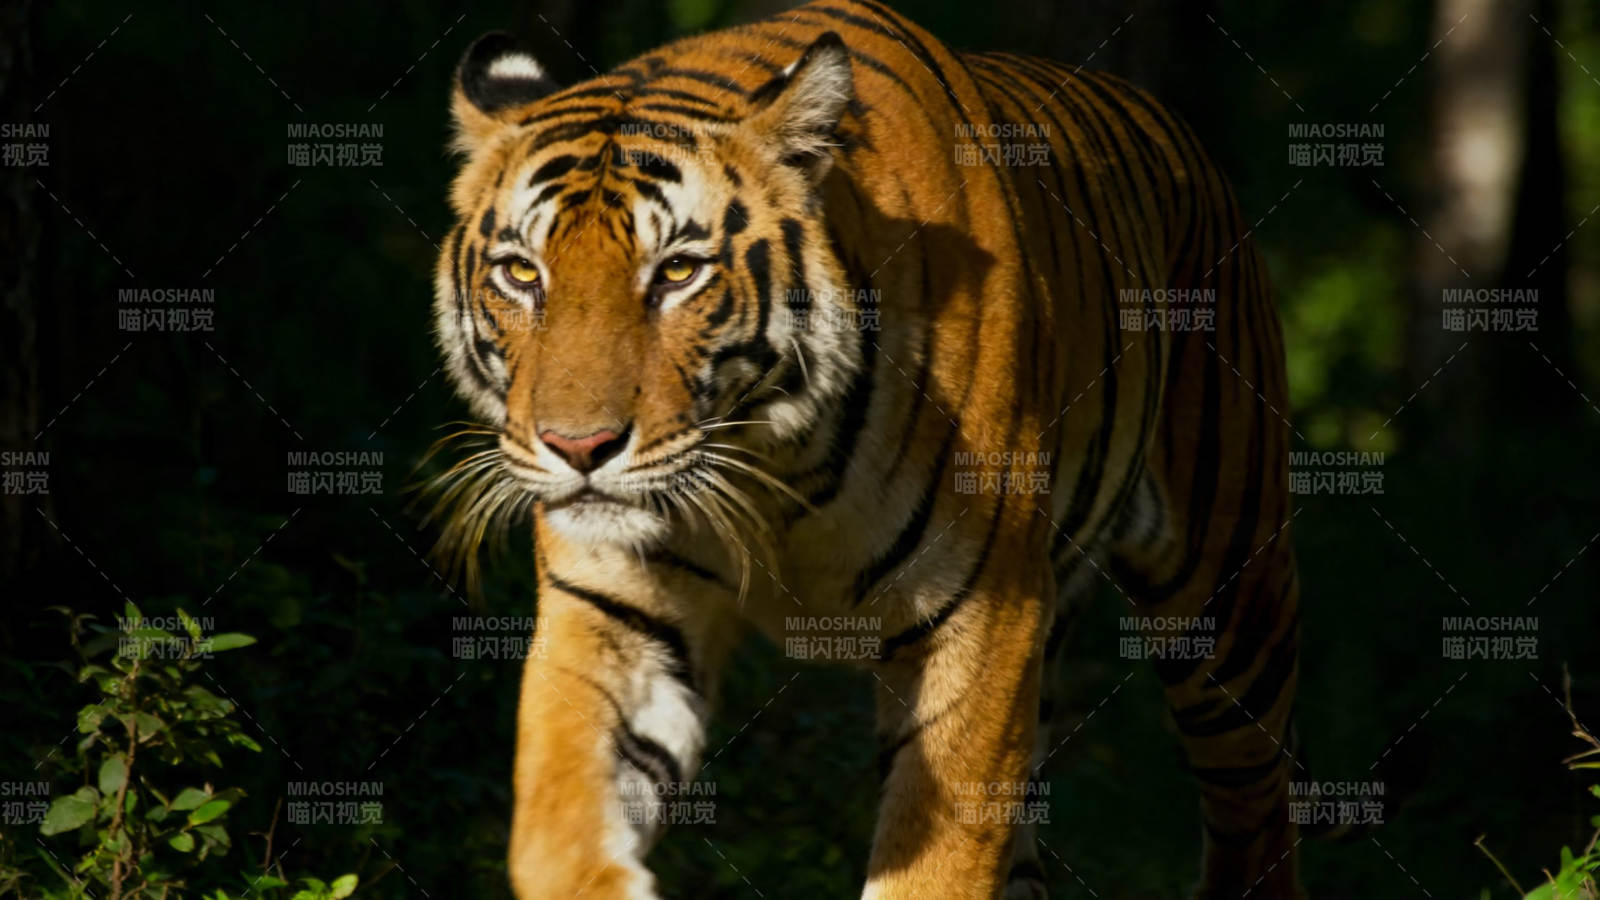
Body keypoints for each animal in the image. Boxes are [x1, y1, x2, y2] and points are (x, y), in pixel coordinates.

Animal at [429, 1, 1303, 897]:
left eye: (676, 272)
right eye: (521, 273)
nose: (579, 446)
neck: (771, 470)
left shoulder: (983, 620)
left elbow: (938, 864)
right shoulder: (611, 606)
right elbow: (555, 830)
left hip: (1228, 602)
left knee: (1258, 815)